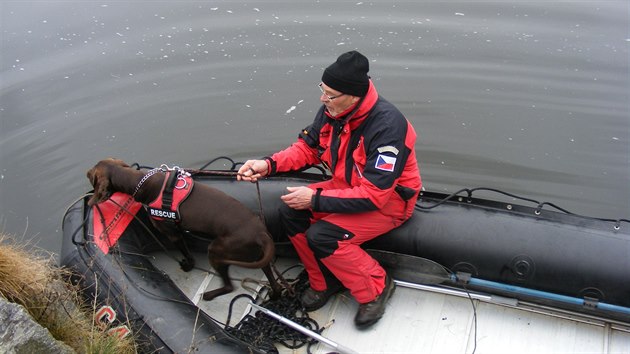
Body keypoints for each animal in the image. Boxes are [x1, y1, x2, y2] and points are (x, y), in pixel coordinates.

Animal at [86, 159, 282, 300]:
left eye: (92, 173)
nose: (86, 172)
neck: (140, 182)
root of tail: (261, 233)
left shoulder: (173, 234)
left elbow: (187, 254)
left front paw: (187, 265)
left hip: (217, 249)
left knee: (228, 286)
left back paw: (209, 295)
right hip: (257, 256)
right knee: (274, 282)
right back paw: (274, 294)